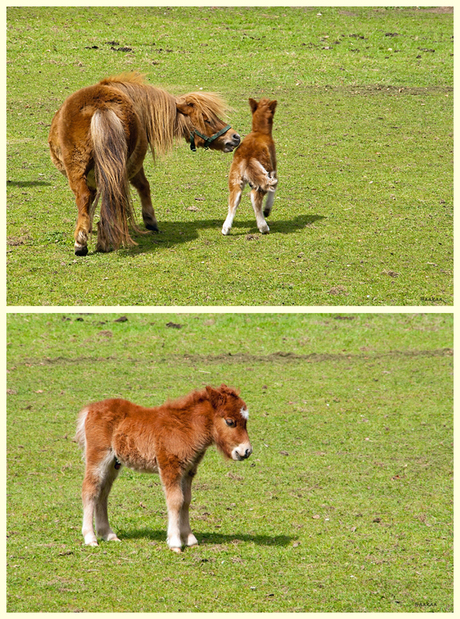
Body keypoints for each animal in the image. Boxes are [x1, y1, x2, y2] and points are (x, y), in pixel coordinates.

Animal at [48, 72, 241, 254]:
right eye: (206, 119)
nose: (235, 137)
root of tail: (101, 107)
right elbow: (141, 186)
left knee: (88, 196)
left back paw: (86, 241)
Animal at [75, 386, 252, 556]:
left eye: (245, 421)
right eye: (230, 421)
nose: (246, 451)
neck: (186, 428)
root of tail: (90, 409)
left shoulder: (188, 471)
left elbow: (186, 500)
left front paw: (189, 539)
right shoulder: (170, 467)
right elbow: (175, 501)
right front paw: (175, 543)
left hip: (113, 463)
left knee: (103, 492)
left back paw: (108, 534)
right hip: (99, 457)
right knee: (90, 490)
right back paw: (90, 538)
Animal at [222, 98, 276, 236]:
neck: (260, 132)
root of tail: (248, 157)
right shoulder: (274, 166)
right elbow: (274, 186)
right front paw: (267, 210)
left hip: (235, 176)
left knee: (235, 197)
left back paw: (226, 228)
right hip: (263, 171)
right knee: (255, 196)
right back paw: (263, 227)